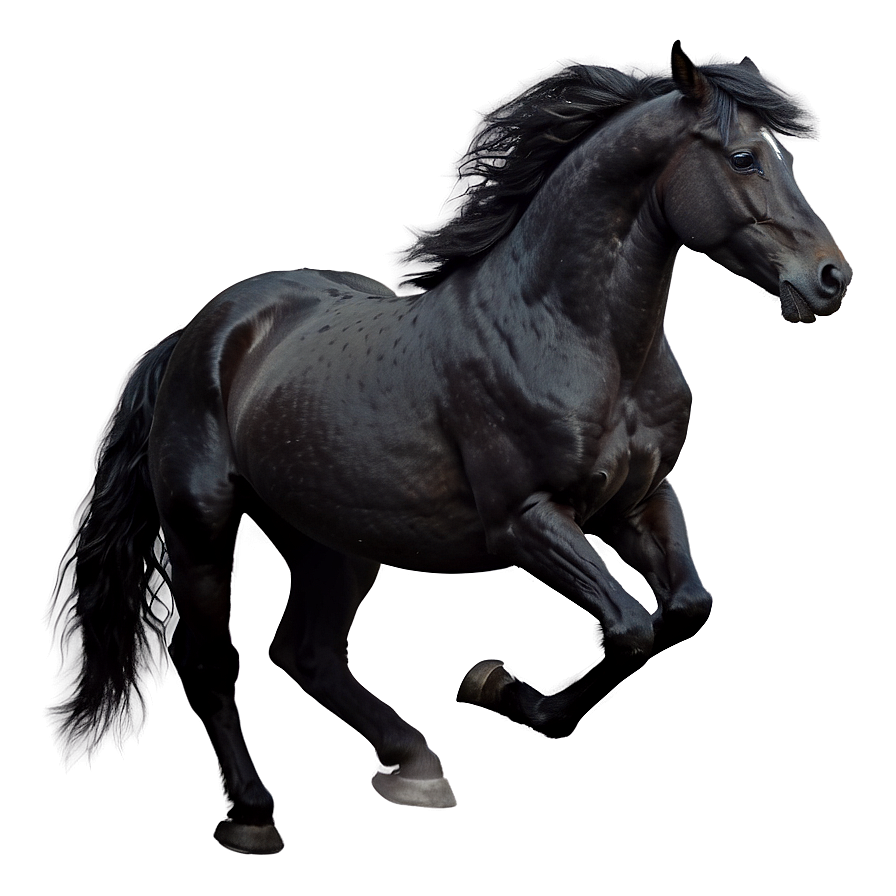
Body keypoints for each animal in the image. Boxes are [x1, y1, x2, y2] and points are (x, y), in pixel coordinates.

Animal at [56, 42, 851, 855]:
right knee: (211, 661)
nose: (829, 278)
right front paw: (502, 689)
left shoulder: (637, 503)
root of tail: (200, 333)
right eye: (744, 156)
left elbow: (684, 610)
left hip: (331, 541)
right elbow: (631, 626)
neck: (576, 335)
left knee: (308, 653)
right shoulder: (526, 520)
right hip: (201, 528)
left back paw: (416, 767)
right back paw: (253, 814)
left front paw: (501, 690)